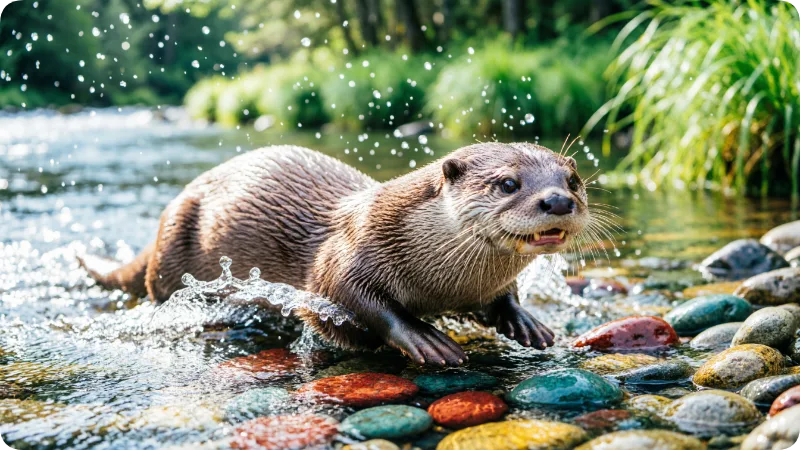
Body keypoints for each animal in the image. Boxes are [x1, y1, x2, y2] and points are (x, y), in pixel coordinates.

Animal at [81, 143, 589, 366]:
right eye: (508, 183)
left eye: (573, 180)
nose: (558, 201)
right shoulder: (345, 255)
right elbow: (353, 301)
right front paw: (425, 337)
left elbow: (504, 296)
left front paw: (526, 322)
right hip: (173, 251)